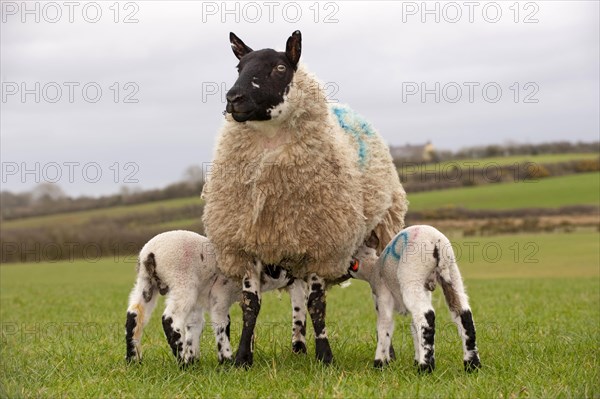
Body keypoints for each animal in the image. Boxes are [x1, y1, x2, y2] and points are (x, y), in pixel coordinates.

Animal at [124, 231, 308, 366]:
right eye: (279, 264)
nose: (295, 275)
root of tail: (150, 253)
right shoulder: (220, 296)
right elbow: (222, 325)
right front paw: (226, 360)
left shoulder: (199, 304)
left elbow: (195, 326)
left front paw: (194, 359)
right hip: (183, 282)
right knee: (170, 318)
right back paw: (182, 361)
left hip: (146, 284)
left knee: (134, 315)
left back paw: (133, 360)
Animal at [203, 30, 408, 368]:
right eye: (238, 67)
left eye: (280, 68)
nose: (234, 98)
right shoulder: (249, 245)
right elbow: (251, 305)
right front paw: (243, 358)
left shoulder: (320, 245)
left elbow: (317, 305)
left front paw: (325, 356)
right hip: (293, 245)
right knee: (297, 299)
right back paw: (298, 346)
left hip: (379, 235)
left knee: (379, 298)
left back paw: (387, 353)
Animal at [346, 227, 482, 374]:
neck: (373, 268)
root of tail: (437, 243)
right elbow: (414, 328)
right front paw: (415, 360)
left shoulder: (383, 296)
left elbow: (384, 327)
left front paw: (380, 363)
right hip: (452, 274)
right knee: (463, 314)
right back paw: (472, 364)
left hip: (412, 275)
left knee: (427, 315)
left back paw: (425, 367)